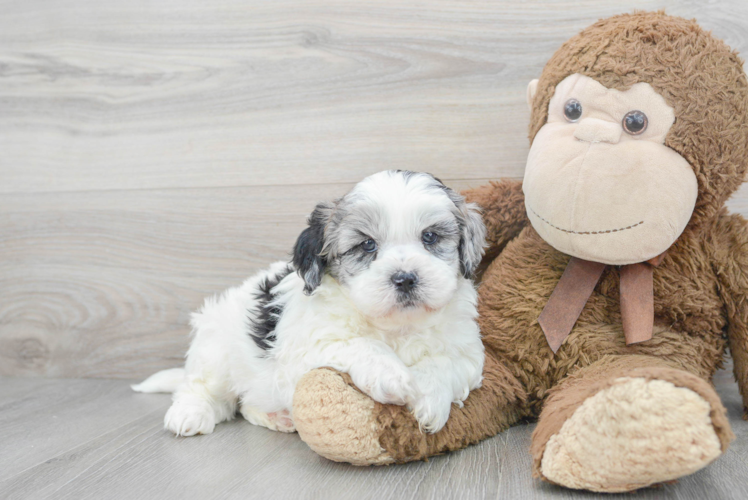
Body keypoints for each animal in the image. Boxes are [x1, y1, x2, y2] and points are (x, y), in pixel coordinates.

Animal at [133, 170, 486, 436]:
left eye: (430, 237)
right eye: (367, 245)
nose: (405, 278)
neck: (397, 327)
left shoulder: (469, 354)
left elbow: (447, 363)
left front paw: (429, 397)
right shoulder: (307, 347)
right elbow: (359, 344)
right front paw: (391, 374)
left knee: (245, 404)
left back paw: (275, 416)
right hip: (216, 349)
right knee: (202, 388)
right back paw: (189, 413)